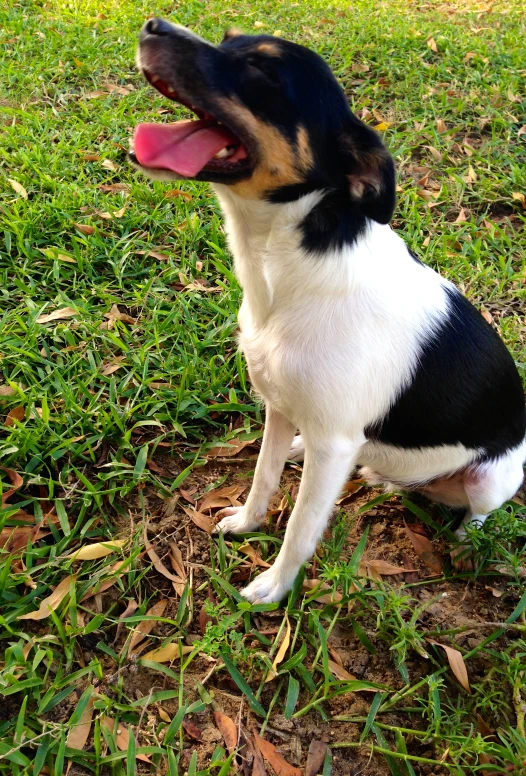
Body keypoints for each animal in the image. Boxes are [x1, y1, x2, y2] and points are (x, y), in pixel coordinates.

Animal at [131, 16, 526, 600]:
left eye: (263, 71)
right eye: (226, 41)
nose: (153, 24)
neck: (288, 265)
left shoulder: (336, 443)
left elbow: (300, 526)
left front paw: (274, 587)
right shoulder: (277, 406)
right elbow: (264, 476)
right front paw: (247, 523)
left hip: (490, 478)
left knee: (475, 510)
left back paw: (462, 538)